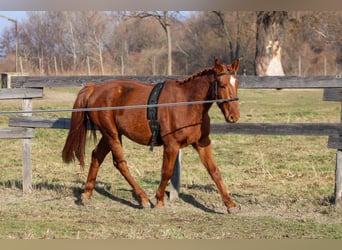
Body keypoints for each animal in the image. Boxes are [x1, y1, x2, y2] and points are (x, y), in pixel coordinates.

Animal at [62, 58, 240, 213]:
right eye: (222, 85)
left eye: (236, 84)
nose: (234, 116)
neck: (187, 103)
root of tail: (95, 88)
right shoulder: (171, 146)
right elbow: (166, 172)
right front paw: (159, 200)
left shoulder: (202, 143)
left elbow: (214, 171)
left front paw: (230, 204)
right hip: (111, 134)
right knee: (120, 163)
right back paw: (143, 199)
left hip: (111, 135)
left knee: (97, 156)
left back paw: (87, 194)